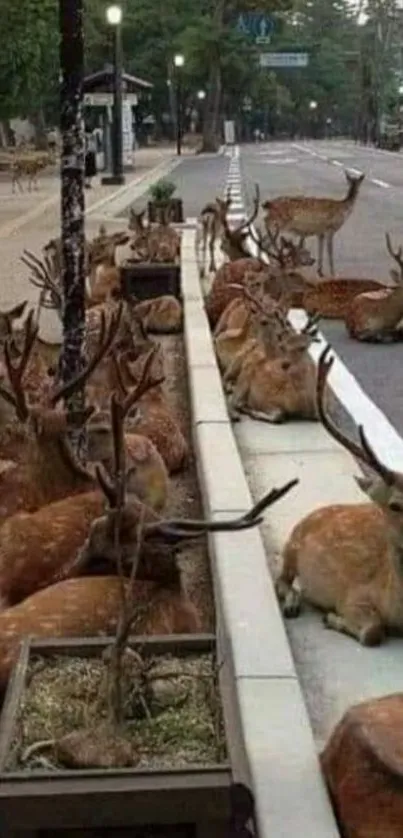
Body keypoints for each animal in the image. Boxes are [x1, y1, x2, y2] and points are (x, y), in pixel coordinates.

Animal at [276, 344, 403, 648]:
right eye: (395, 505)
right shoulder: (354, 596)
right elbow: (372, 632)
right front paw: (330, 618)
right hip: (291, 545)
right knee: (282, 579)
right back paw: (293, 603)